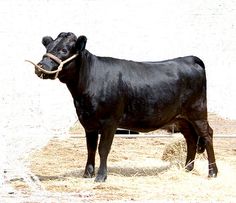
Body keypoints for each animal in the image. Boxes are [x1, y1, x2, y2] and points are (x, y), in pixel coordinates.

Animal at [27, 32, 218, 182]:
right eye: (48, 48)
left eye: (64, 51)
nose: (41, 67)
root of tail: (189, 59)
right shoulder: (88, 122)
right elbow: (90, 148)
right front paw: (87, 174)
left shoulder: (109, 121)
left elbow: (103, 149)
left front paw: (101, 177)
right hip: (181, 119)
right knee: (191, 139)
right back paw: (186, 169)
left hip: (198, 112)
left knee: (207, 135)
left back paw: (212, 172)